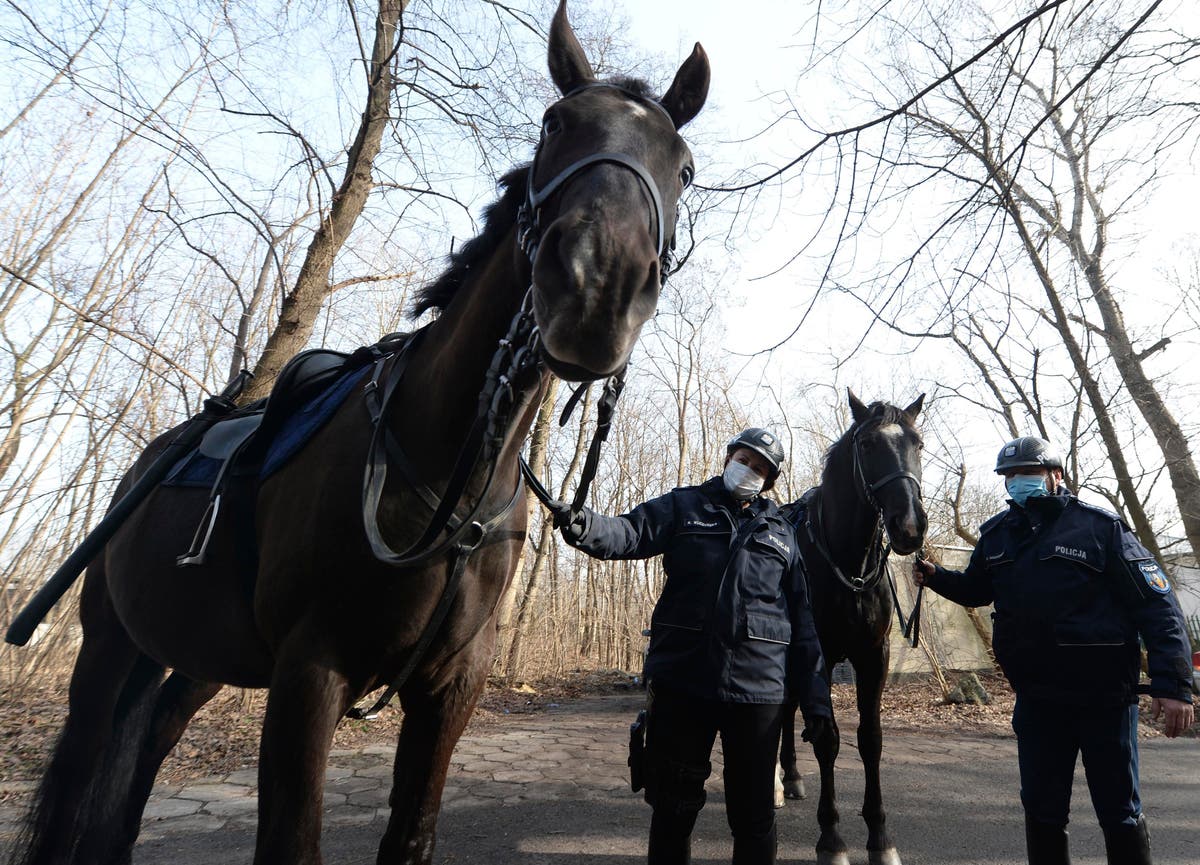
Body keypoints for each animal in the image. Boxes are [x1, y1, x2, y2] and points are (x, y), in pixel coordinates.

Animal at [7, 5, 709, 864]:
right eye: (554, 124)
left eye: (683, 169)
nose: (595, 285)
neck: (446, 480)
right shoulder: (311, 674)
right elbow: (291, 837)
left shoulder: (450, 689)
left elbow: (411, 832)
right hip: (107, 648)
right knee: (82, 768)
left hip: (197, 659)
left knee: (148, 745)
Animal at [780, 391, 926, 865]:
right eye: (867, 445)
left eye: (917, 443)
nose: (909, 526)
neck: (848, 564)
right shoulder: (820, 657)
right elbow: (828, 740)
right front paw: (832, 840)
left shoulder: (872, 656)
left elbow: (870, 739)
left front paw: (880, 837)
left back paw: (790, 775)